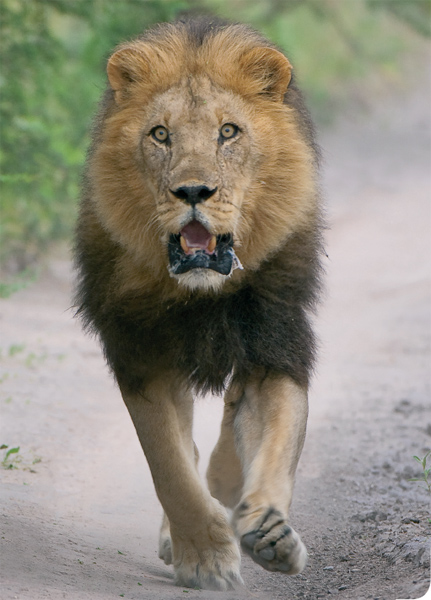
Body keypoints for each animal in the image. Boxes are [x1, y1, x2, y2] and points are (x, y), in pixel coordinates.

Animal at [75, 17, 324, 592]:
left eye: (228, 132)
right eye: (159, 134)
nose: (193, 191)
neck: (201, 292)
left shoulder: (274, 343)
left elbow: (279, 441)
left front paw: (271, 533)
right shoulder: (142, 355)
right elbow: (170, 467)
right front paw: (206, 559)